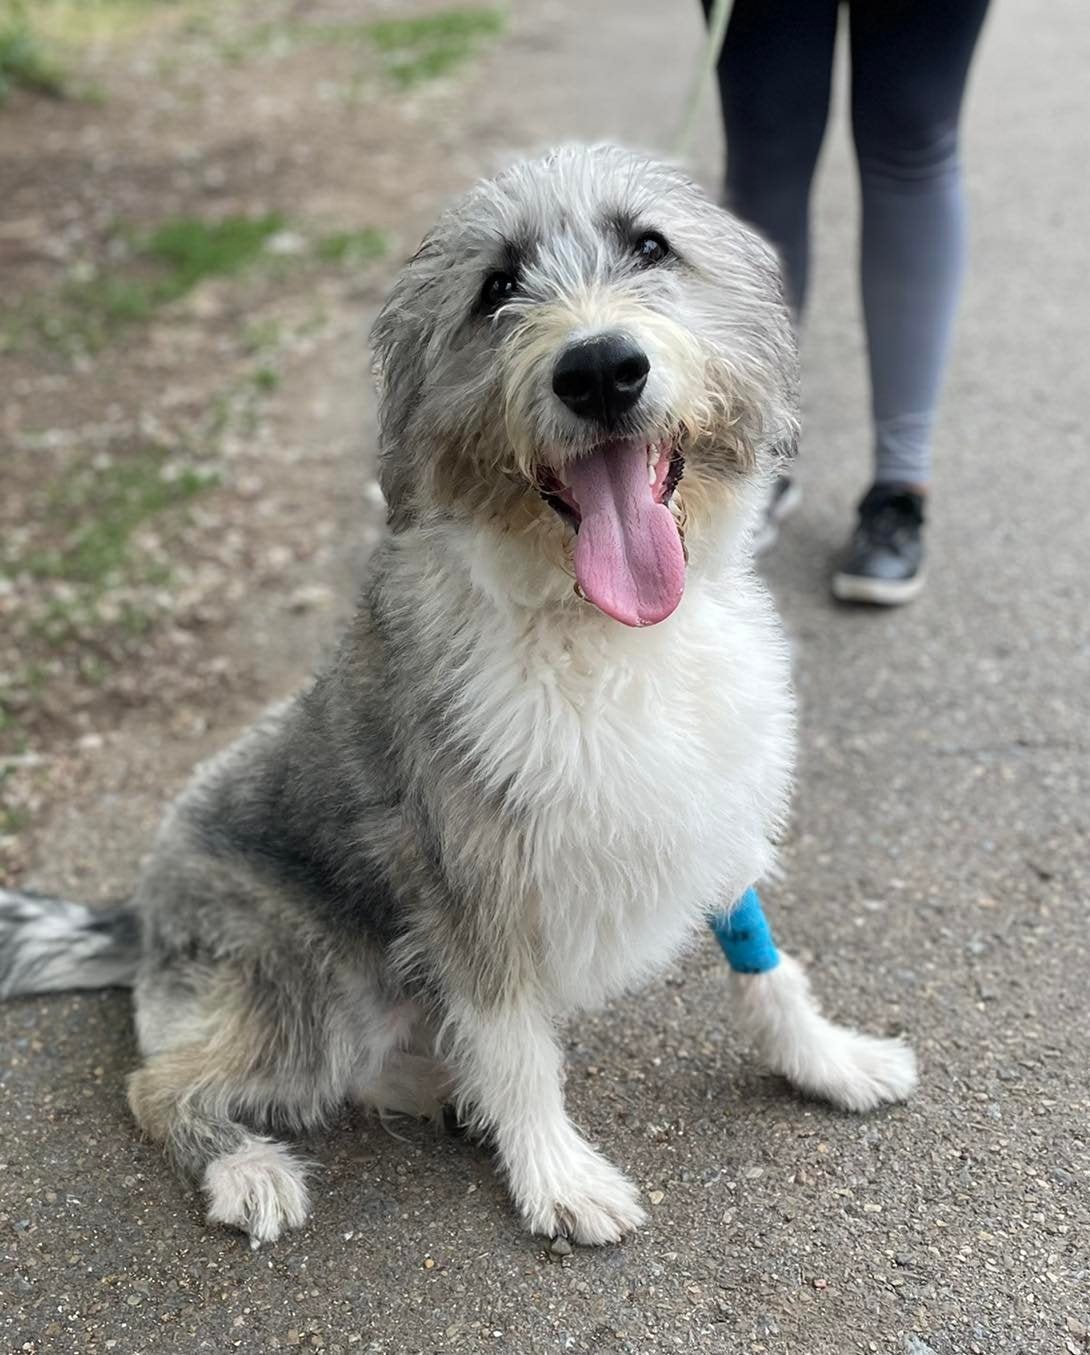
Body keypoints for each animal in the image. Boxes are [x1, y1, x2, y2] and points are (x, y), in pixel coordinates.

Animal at [0, 142, 916, 1241]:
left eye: (650, 246)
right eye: (496, 288)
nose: (600, 369)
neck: (596, 627)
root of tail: (137, 910)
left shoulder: (709, 811)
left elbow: (764, 963)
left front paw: (826, 1058)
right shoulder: (472, 885)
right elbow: (515, 1043)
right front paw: (557, 1174)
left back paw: (437, 1087)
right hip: (309, 984)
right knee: (165, 1084)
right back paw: (247, 1166)